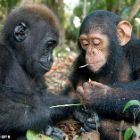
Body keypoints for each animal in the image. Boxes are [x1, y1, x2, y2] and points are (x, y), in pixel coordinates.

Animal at [0, 3, 96, 140]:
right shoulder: (3, 54)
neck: (16, 54)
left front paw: (77, 109)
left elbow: (44, 96)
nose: (52, 60)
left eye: (53, 46)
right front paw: (43, 117)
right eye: (49, 45)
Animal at [63, 9, 140, 139]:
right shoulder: (80, 63)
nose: (91, 52)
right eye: (85, 44)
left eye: (96, 43)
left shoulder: (137, 51)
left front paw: (95, 94)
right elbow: (69, 94)